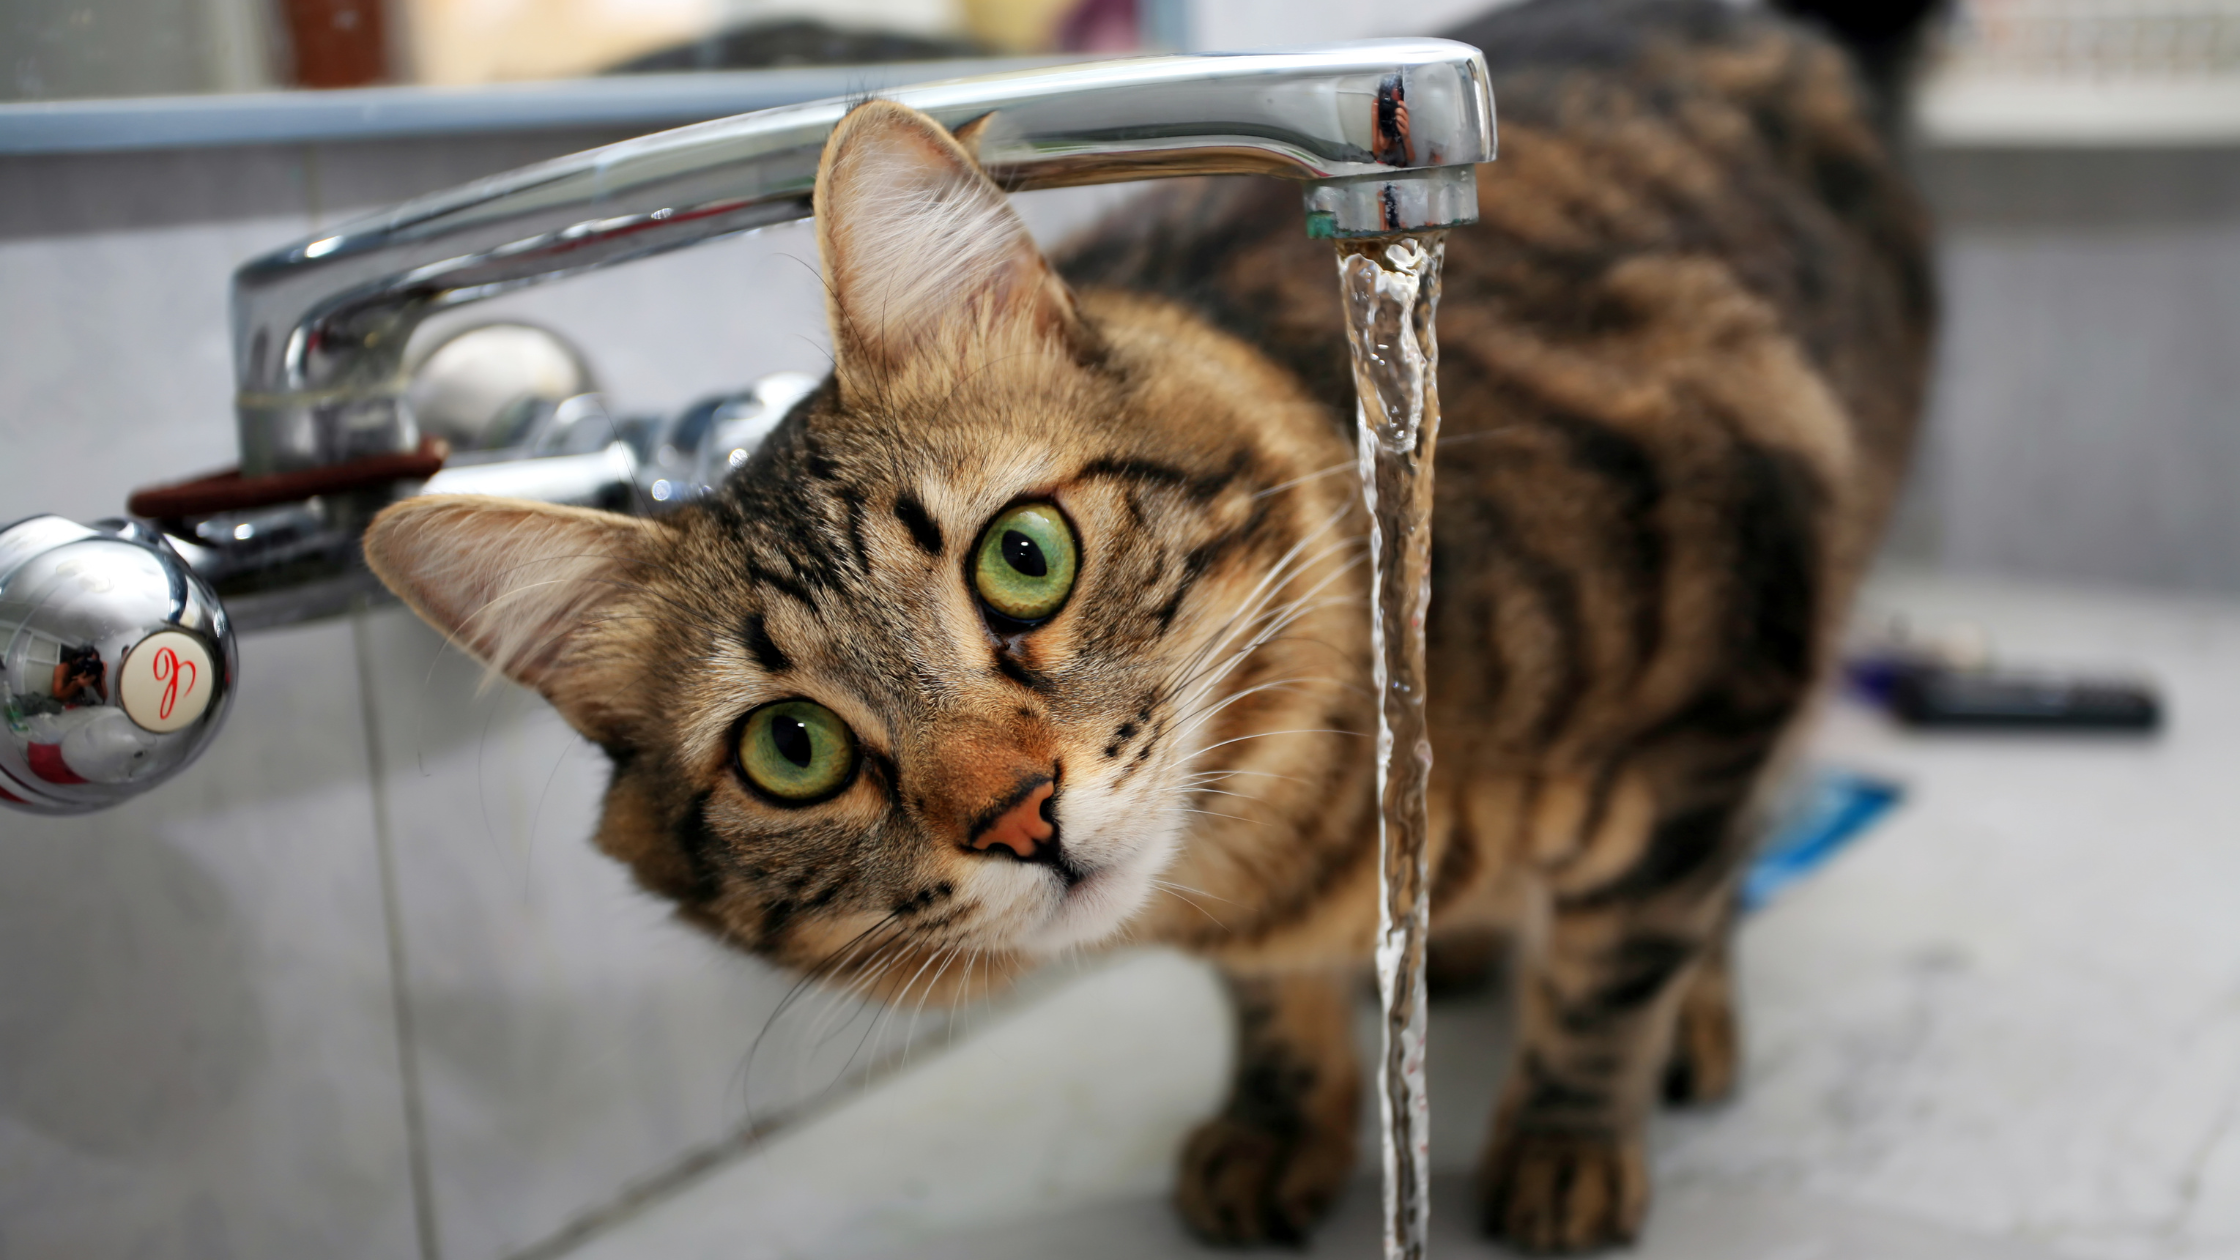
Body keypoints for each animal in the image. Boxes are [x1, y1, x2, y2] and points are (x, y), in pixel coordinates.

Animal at [358, 0, 1935, 1237]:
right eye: (791, 751)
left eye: (1025, 558)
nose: (1017, 815)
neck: (1288, 855)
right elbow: (1273, 1008)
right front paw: (1283, 1116)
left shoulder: (1734, 652)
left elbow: (1617, 967)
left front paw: (1562, 1146)